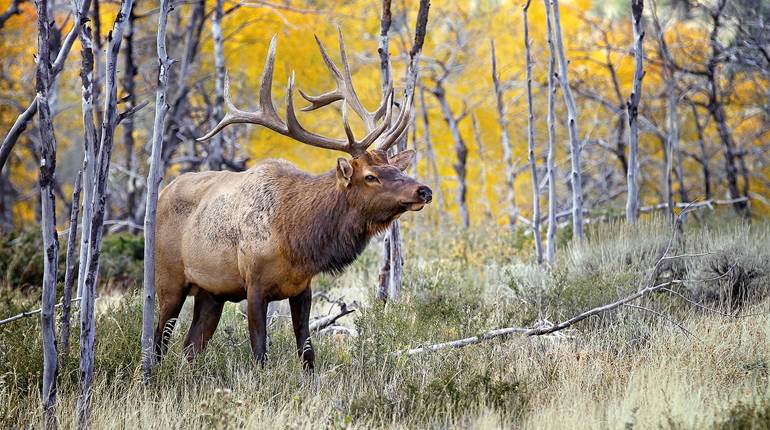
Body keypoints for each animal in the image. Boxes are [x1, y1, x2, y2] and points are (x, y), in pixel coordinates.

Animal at [153, 33, 432, 371]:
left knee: (190, 349)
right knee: (158, 340)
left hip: (211, 292)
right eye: (370, 176)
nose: (423, 191)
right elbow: (260, 352)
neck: (296, 239)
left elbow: (308, 352)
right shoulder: (254, 284)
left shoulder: (302, 288)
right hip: (169, 279)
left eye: (395, 168)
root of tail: (163, 193)